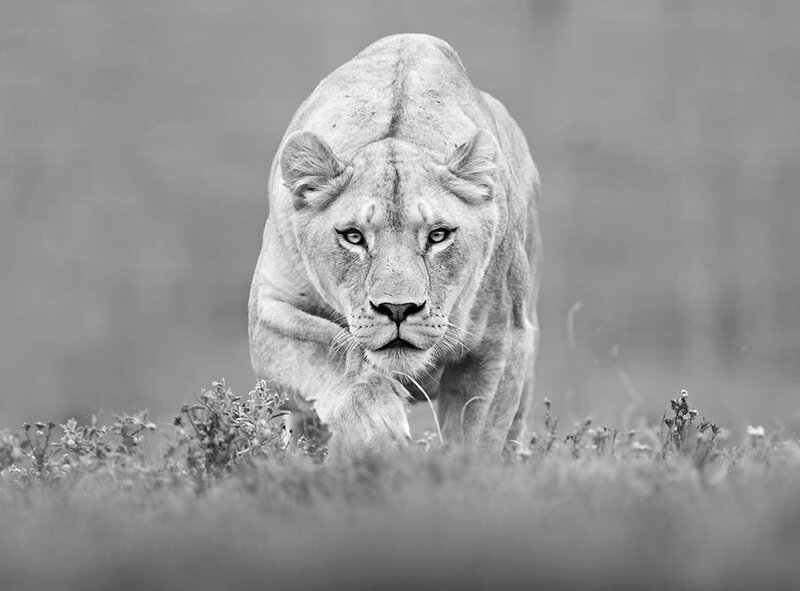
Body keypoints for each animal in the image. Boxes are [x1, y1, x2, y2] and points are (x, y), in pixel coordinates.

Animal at [249, 34, 541, 454]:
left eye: (438, 235)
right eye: (353, 236)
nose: (398, 309)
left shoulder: (502, 339)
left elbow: (477, 437)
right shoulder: (269, 311)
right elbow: (334, 351)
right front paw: (378, 426)